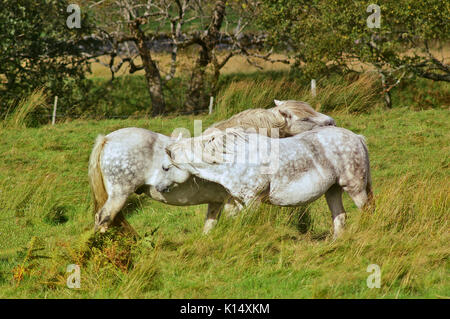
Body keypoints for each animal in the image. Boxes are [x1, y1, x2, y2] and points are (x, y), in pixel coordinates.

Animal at [89, 100, 334, 235]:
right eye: (305, 118)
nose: (332, 123)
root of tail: (108, 139)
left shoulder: (217, 202)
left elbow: (209, 228)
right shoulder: (235, 202)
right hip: (119, 195)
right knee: (103, 219)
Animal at [163, 126, 374, 239]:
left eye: (166, 168)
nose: (160, 188)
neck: (233, 158)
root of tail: (357, 138)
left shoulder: (253, 201)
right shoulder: (240, 201)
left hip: (355, 188)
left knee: (366, 211)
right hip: (333, 190)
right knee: (340, 217)